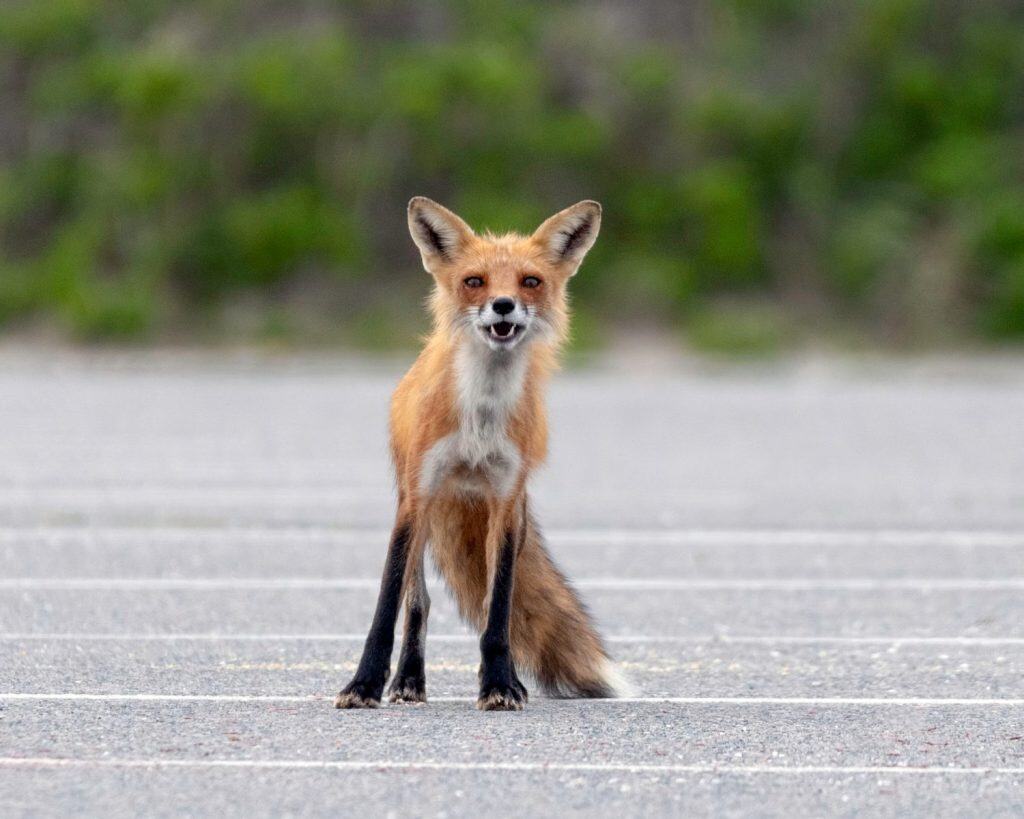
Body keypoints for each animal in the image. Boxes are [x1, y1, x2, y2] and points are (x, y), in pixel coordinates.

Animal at [335, 197, 630, 711]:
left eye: (530, 281)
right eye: (475, 281)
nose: (503, 305)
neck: (481, 420)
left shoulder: (506, 501)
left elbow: (499, 611)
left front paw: (499, 684)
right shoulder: (418, 496)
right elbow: (387, 606)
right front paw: (364, 684)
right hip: (421, 507)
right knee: (419, 602)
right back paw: (408, 680)